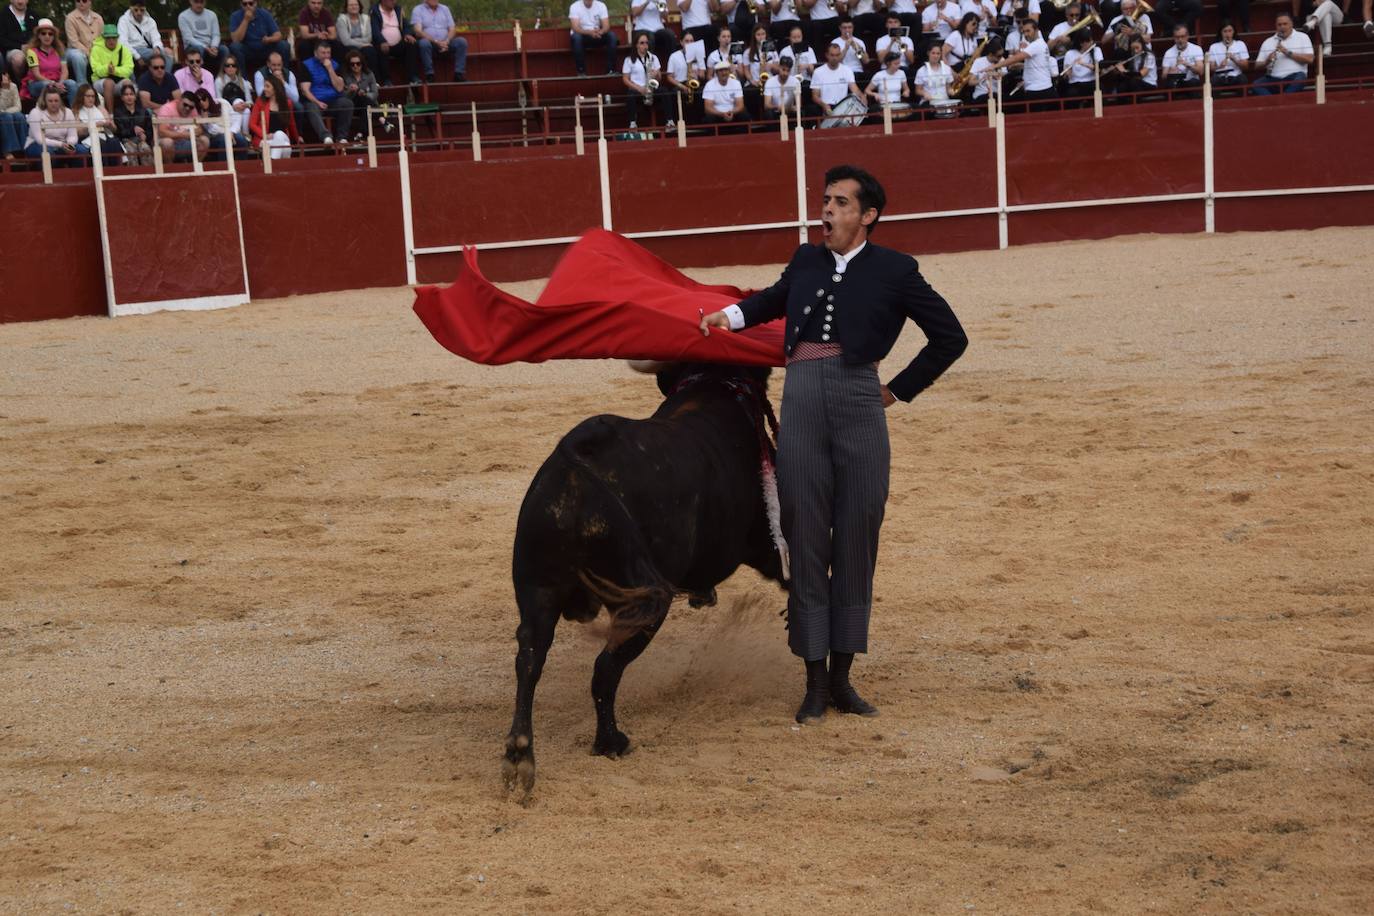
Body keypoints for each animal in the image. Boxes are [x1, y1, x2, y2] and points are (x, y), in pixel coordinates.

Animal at [502, 362, 785, 796]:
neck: (713, 387)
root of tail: (573, 476)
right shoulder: (765, 543)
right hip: (645, 599)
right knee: (606, 667)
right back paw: (610, 742)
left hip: (537, 590)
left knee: (530, 658)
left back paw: (519, 754)